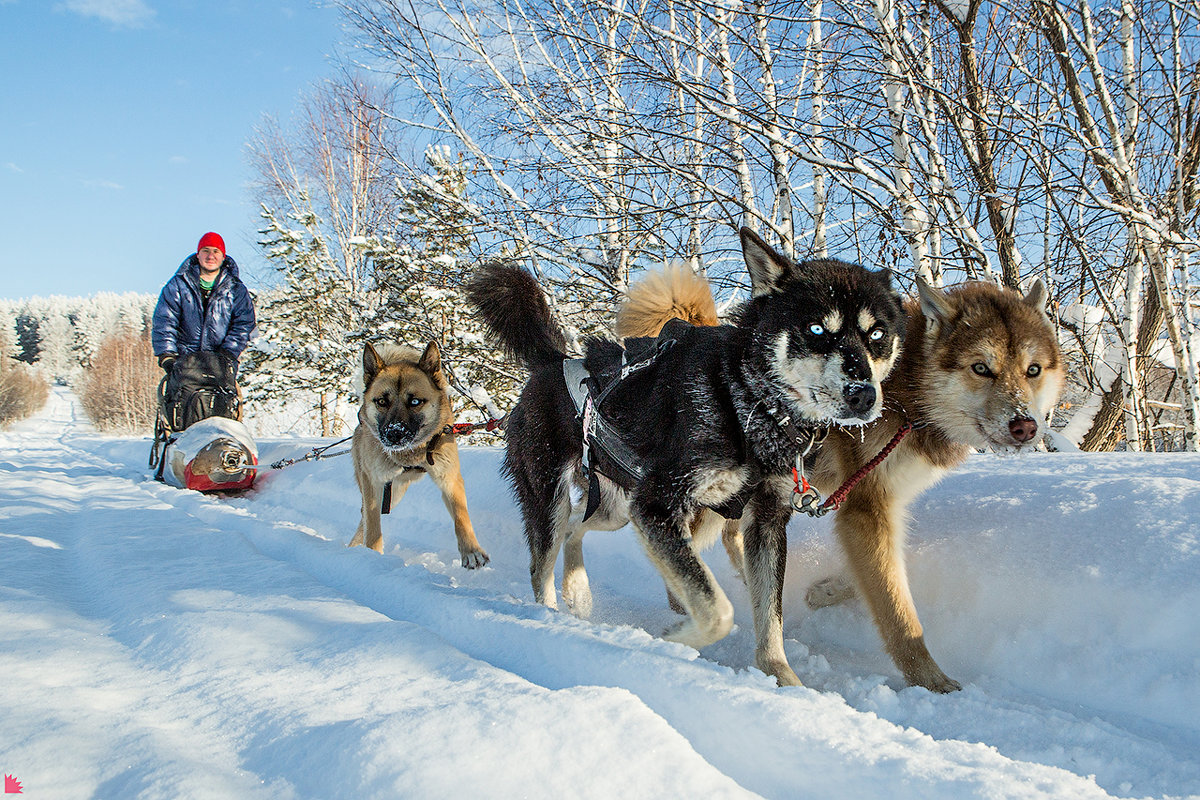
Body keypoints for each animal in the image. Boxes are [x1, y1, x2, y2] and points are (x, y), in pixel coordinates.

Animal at [465, 227, 902, 686]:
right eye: (817, 328)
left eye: (877, 335)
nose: (863, 395)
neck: (746, 400)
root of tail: (556, 361)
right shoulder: (659, 504)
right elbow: (718, 611)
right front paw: (672, 640)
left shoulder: (764, 523)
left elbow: (770, 619)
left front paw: (784, 681)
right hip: (558, 497)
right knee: (542, 562)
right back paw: (552, 617)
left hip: (620, 507)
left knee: (574, 528)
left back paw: (578, 593)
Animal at [619, 267, 1070, 690]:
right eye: (981, 368)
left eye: (1032, 370)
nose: (1025, 426)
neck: (908, 396)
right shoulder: (864, 507)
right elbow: (896, 610)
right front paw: (931, 680)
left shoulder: (874, 505)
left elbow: (879, 575)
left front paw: (825, 591)